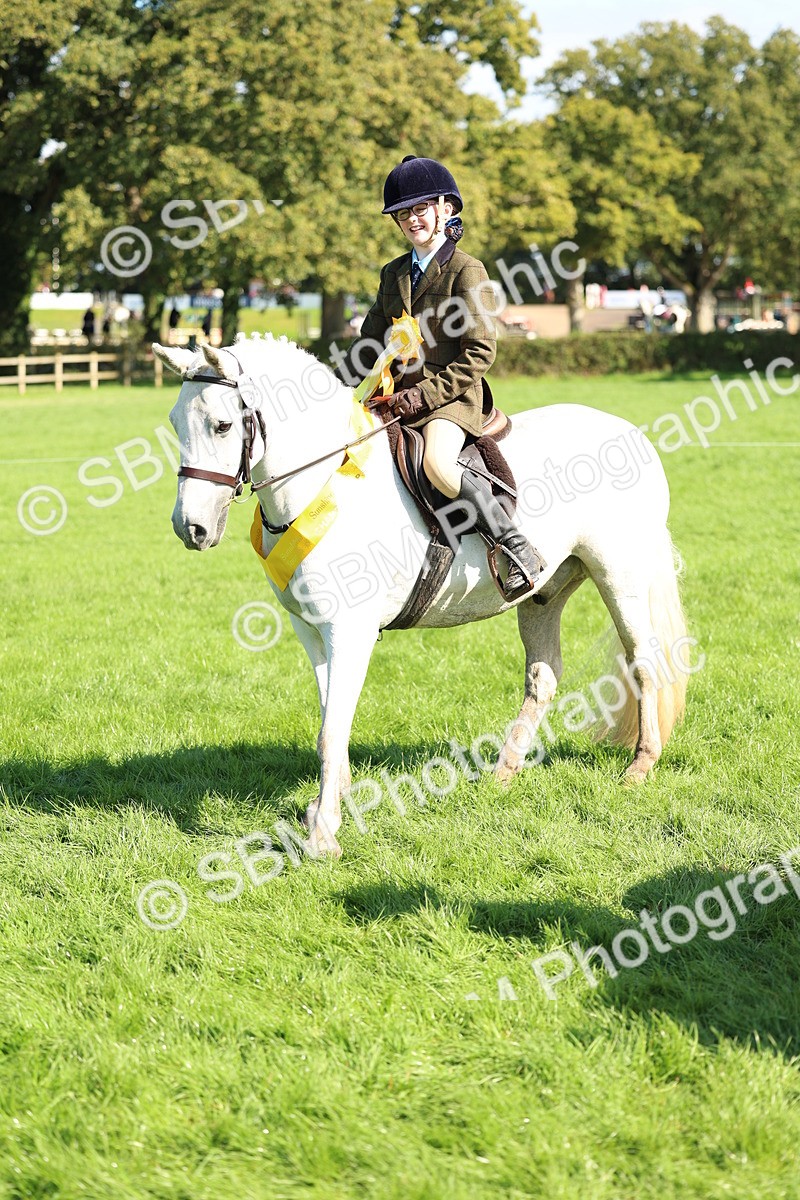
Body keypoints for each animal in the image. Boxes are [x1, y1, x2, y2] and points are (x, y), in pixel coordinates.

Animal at [154, 335, 688, 857]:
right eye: (176, 422)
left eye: (223, 425)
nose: (190, 528)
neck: (325, 486)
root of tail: (632, 434)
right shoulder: (311, 630)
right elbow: (331, 720)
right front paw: (332, 804)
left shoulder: (349, 631)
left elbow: (332, 729)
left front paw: (323, 834)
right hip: (545, 593)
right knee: (544, 676)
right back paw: (503, 772)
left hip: (619, 575)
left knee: (643, 661)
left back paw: (640, 766)